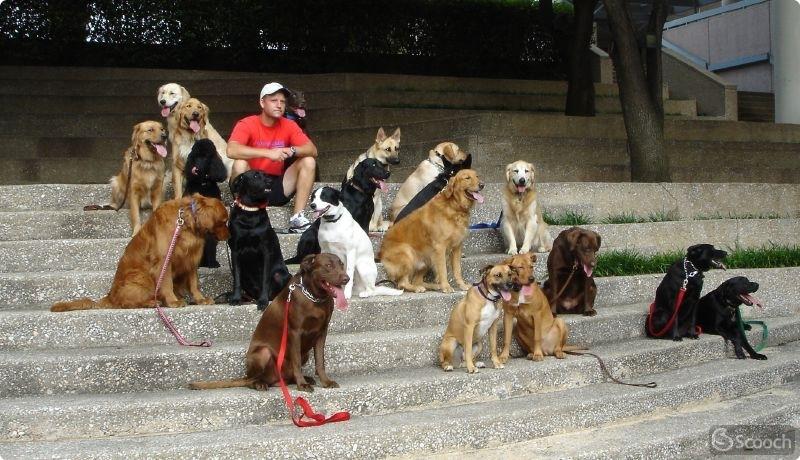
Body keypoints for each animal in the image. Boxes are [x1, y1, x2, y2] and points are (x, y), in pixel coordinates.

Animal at [191, 252, 350, 392]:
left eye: (342, 264)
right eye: (328, 265)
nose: (347, 279)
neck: (314, 298)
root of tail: (276, 379)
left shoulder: (322, 333)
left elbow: (320, 362)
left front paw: (326, 382)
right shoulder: (295, 332)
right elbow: (297, 361)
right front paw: (302, 385)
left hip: (304, 354)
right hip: (263, 353)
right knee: (252, 380)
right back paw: (260, 384)